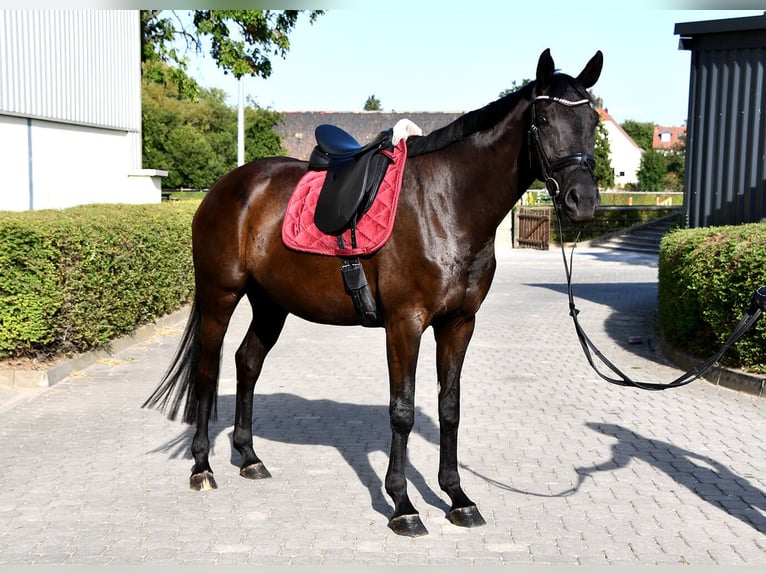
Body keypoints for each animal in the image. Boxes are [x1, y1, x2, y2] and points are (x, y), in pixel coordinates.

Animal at [146, 49, 608, 540]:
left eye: (592, 121)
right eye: (544, 117)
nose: (582, 200)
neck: (446, 202)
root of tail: (224, 188)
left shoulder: (459, 324)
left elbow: (449, 408)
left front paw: (458, 498)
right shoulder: (405, 323)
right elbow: (402, 411)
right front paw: (403, 505)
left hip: (271, 304)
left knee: (246, 362)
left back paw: (249, 458)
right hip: (220, 295)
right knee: (207, 370)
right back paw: (202, 467)